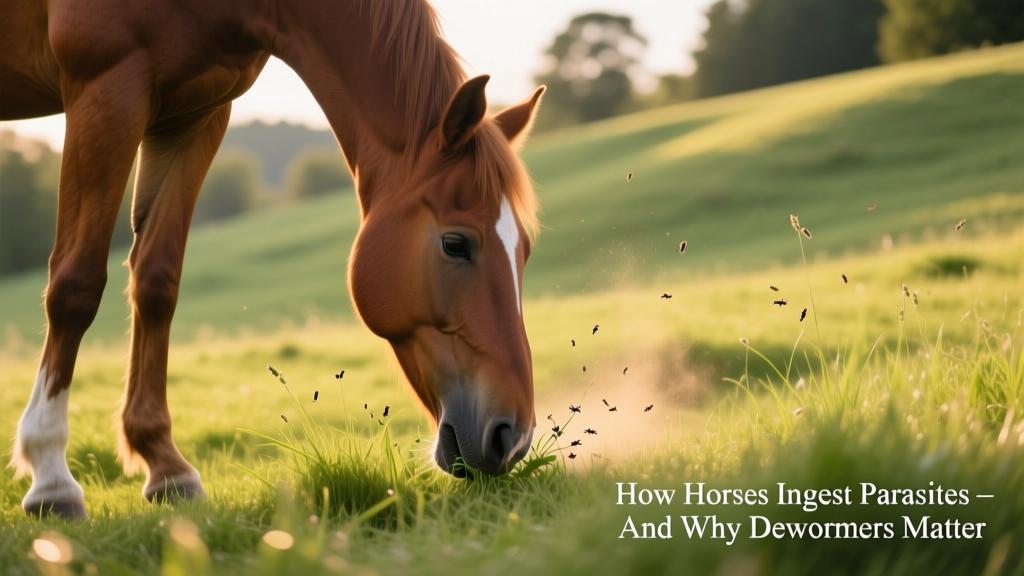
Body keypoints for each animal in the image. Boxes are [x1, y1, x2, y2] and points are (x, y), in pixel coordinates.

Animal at [1, 0, 544, 519]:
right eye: (455, 244)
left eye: (525, 250)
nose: (513, 438)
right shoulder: (106, 89)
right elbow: (76, 286)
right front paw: (50, 477)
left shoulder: (195, 112)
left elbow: (156, 283)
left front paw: (166, 466)